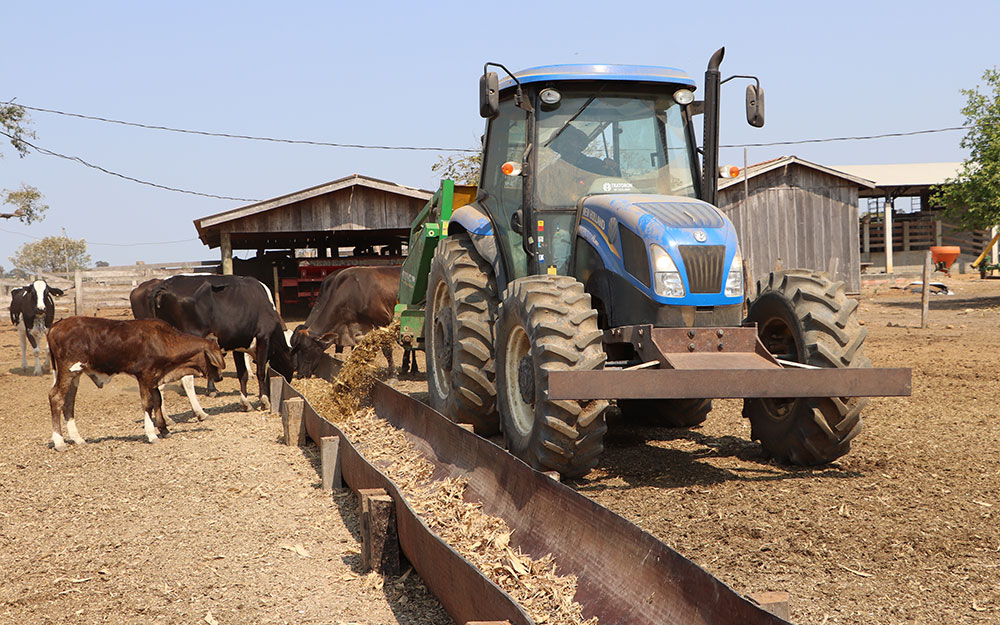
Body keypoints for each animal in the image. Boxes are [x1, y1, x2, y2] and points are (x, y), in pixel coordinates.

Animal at [47, 316, 225, 448]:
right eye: (214, 360)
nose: (220, 377)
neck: (164, 340)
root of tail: (56, 325)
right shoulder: (144, 375)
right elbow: (148, 404)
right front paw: (151, 434)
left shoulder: (154, 377)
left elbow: (158, 400)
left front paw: (164, 429)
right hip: (68, 370)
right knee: (56, 397)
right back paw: (59, 441)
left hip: (75, 375)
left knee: (69, 402)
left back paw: (77, 439)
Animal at [146, 274, 292, 414]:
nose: (288, 380)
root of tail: (165, 285)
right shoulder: (263, 337)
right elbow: (260, 372)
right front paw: (264, 402)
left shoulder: (238, 345)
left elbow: (242, 375)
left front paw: (245, 403)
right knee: (186, 379)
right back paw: (199, 412)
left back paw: (166, 418)